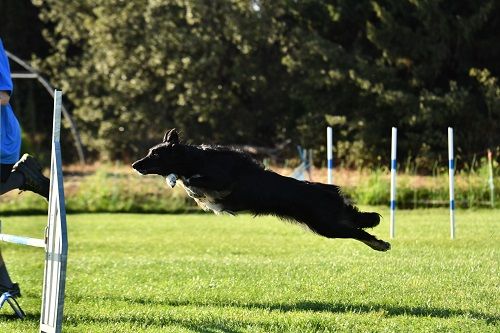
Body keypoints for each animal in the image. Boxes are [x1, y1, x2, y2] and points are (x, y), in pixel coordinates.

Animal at [133, 128, 390, 250]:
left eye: (154, 154)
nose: (135, 165)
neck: (195, 160)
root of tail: (328, 191)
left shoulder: (223, 181)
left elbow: (192, 181)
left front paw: (178, 180)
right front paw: (175, 181)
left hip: (327, 226)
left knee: (359, 231)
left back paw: (381, 245)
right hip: (326, 224)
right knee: (358, 224)